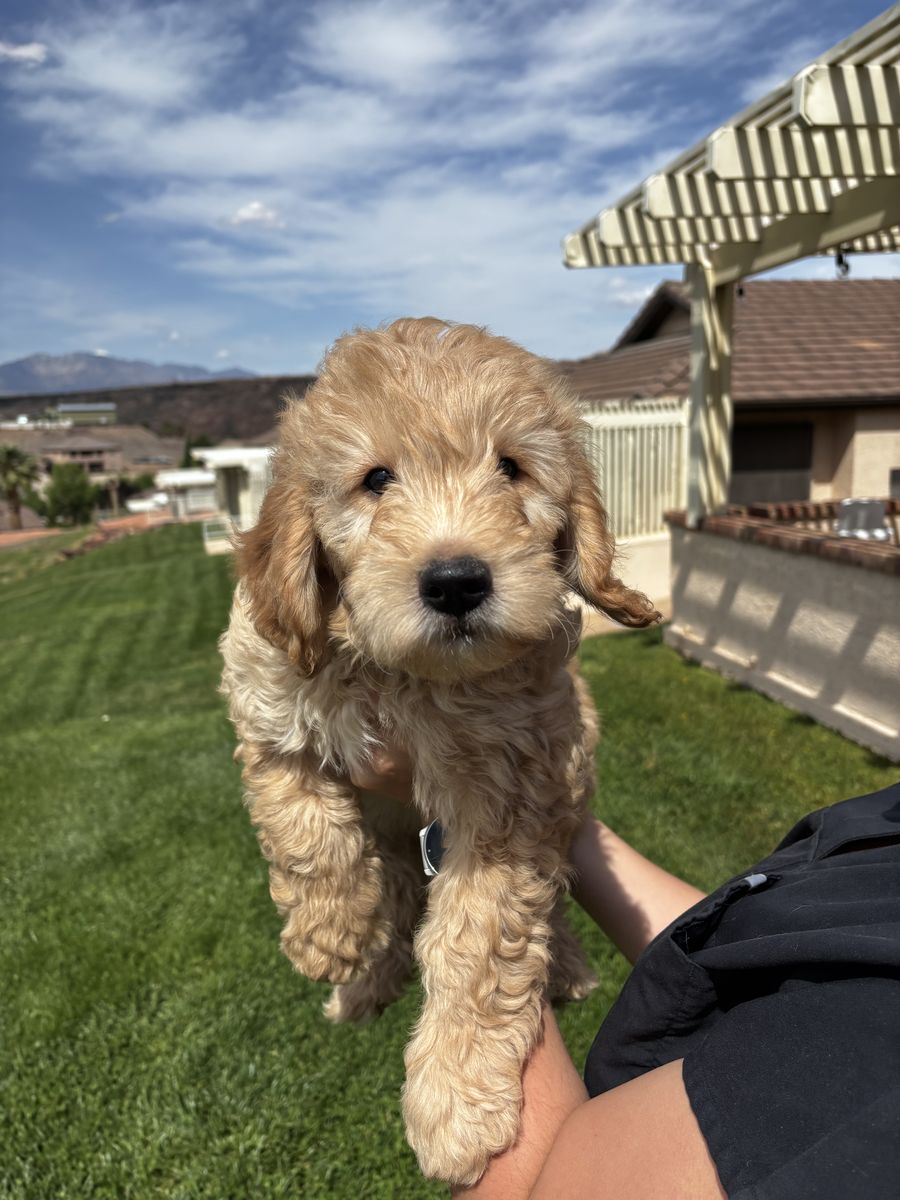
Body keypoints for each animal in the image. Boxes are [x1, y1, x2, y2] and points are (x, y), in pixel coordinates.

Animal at [219, 318, 658, 1185]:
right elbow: (303, 826)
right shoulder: (266, 696)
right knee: (392, 889)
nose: (456, 582)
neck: (401, 673)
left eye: (512, 467)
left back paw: (565, 968)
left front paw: (455, 1099)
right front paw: (330, 935)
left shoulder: (517, 784)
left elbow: (480, 935)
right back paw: (363, 982)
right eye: (376, 479)